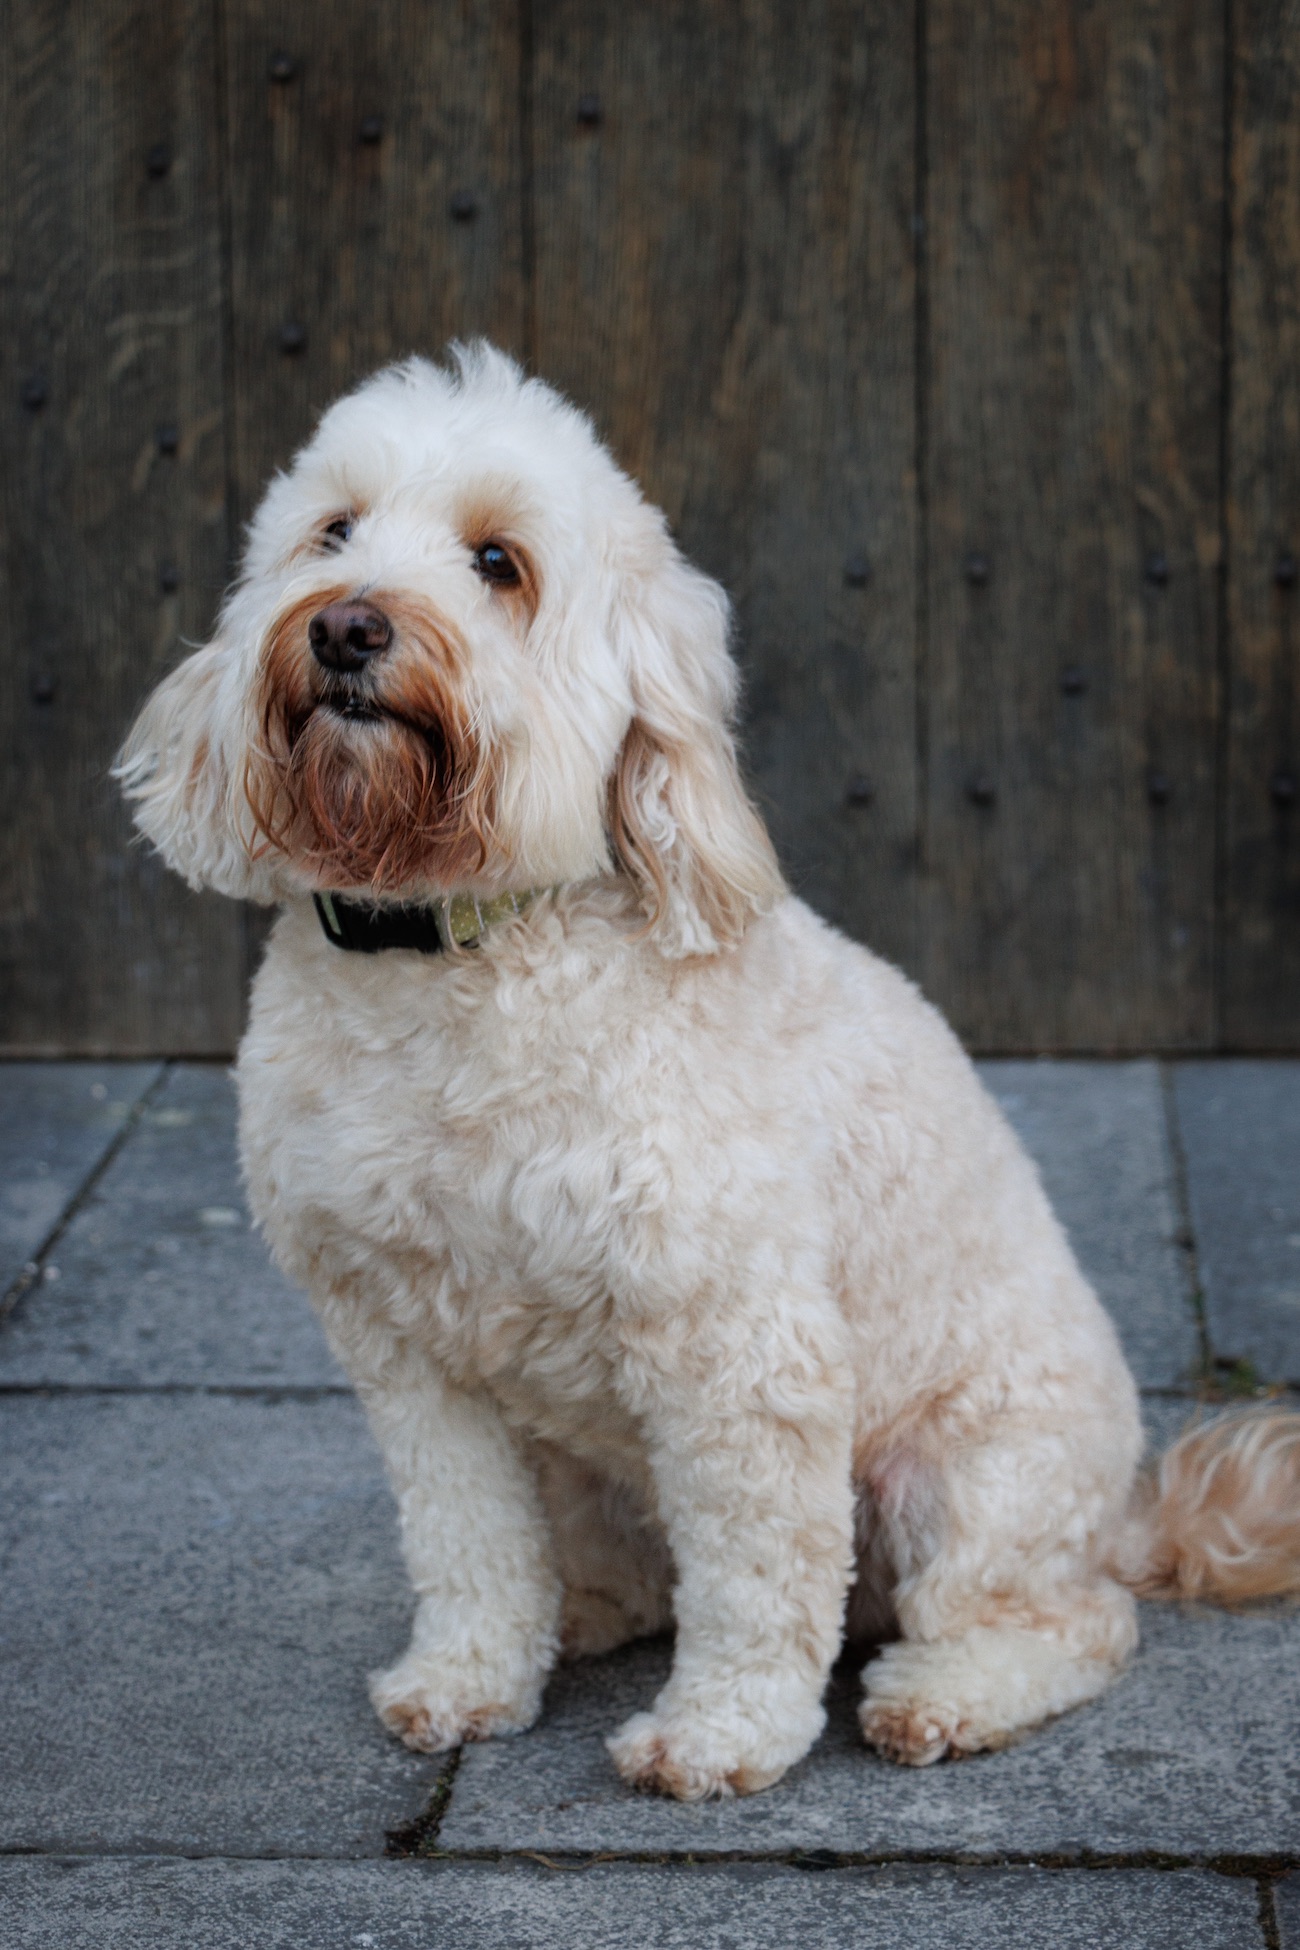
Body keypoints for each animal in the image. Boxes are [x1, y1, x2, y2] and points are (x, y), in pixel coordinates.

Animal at [116, 339, 1294, 1794]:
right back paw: (577, 1613)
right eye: (331, 533)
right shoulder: (406, 1353)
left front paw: (719, 1732)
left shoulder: (736, 1347)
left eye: (498, 563)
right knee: (627, 1570)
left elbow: (752, 1576)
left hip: (973, 1476)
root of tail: (1126, 1516)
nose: (346, 626)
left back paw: (947, 1692)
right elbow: (463, 1538)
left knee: (1063, 1619)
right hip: (582, 1459)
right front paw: (466, 1676)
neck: (457, 952)